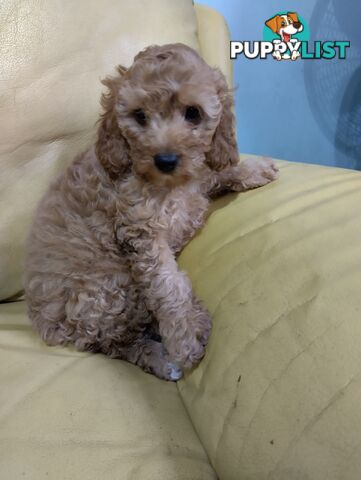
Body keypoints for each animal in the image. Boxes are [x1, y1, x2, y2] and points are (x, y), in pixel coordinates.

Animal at [24, 43, 278, 380]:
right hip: (108, 291)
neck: (169, 184)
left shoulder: (195, 178)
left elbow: (214, 171)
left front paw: (254, 168)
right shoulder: (141, 234)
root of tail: (44, 324)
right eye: (140, 116)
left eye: (193, 113)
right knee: (116, 343)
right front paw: (186, 337)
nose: (165, 160)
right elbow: (169, 286)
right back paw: (163, 357)